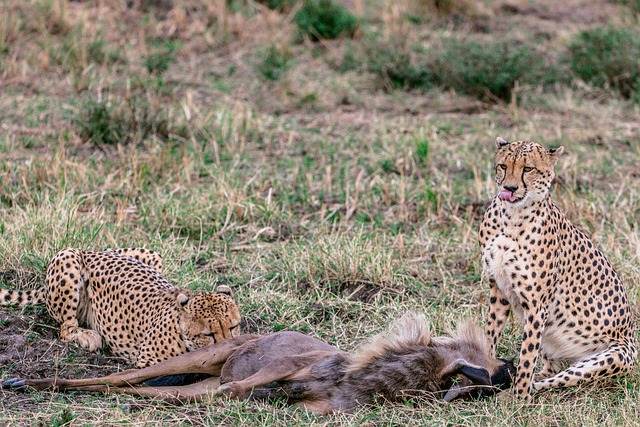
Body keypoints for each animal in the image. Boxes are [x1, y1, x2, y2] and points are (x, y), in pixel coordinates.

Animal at [1, 249, 241, 370]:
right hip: (67, 256)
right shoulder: (148, 363)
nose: (227, 349)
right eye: (208, 334)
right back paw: (87, 336)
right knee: (66, 328)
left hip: (153, 254)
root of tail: (91, 250)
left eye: (234, 327)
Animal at [480, 139, 636, 400]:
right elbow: (490, 334)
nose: (510, 188)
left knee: (557, 378)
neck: (511, 217)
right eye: (502, 166)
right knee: (550, 368)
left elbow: (527, 355)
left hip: (611, 357)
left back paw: (518, 390)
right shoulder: (498, 289)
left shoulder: (536, 305)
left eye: (528, 169)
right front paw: (484, 370)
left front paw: (519, 399)